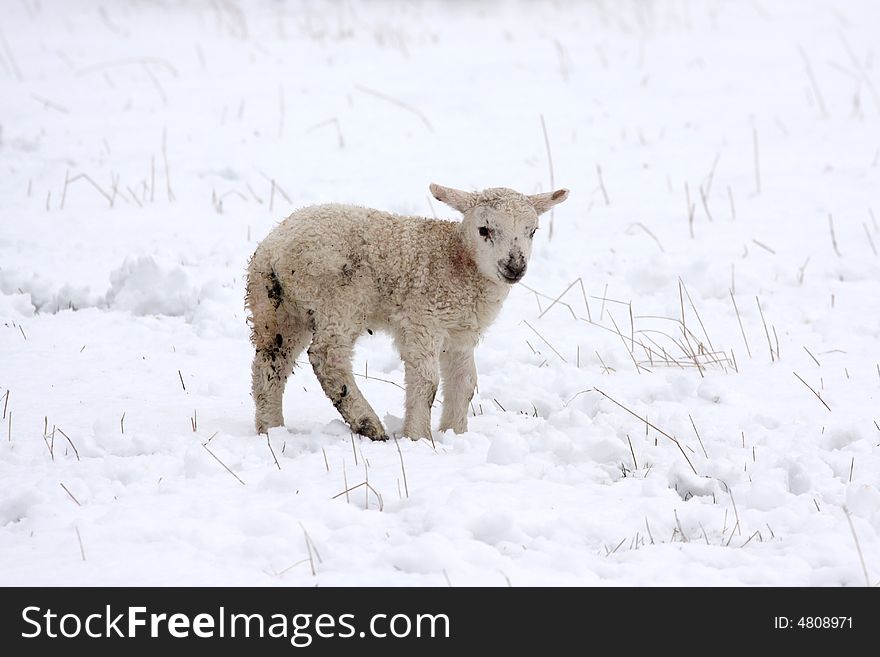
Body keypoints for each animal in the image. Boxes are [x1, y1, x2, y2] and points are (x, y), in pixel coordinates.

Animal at [246, 182, 572, 440]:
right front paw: (419, 437)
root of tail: (274, 249)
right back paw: (368, 424)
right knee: (327, 358)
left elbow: (465, 383)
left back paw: (271, 429)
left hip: (276, 308)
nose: (515, 267)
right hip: (338, 300)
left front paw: (455, 433)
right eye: (485, 230)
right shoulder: (423, 320)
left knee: (270, 363)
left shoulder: (460, 334)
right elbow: (427, 382)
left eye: (533, 231)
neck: (459, 260)